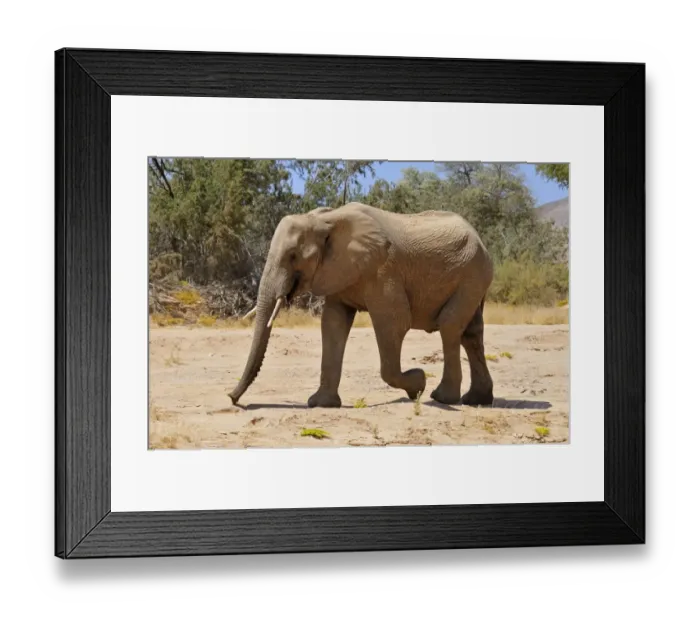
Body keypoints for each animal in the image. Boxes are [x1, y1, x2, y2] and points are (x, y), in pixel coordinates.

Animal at [228, 202, 494, 408]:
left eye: (293, 256)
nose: (232, 398)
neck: (325, 220)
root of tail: (480, 239)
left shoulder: (383, 270)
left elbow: (394, 323)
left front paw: (418, 384)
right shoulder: (338, 271)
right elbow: (333, 324)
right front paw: (320, 404)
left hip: (472, 273)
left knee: (449, 325)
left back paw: (442, 398)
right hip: (473, 277)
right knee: (471, 333)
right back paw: (477, 400)